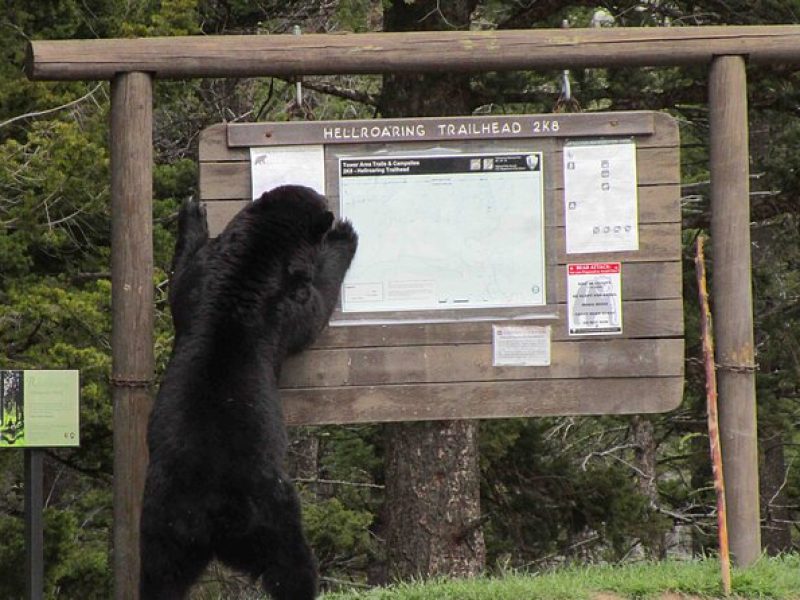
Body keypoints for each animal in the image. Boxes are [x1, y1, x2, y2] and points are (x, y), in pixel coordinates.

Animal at [139, 185, 358, 600]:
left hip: (165, 526)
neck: (255, 255)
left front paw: (193, 212)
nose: (330, 206)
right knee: (292, 566)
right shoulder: (284, 302)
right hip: (273, 511)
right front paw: (344, 235)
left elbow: (181, 278)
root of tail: (213, 519)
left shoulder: (201, 279)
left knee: (159, 577)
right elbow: (313, 310)